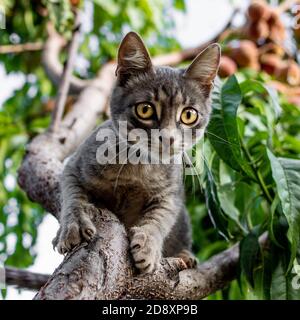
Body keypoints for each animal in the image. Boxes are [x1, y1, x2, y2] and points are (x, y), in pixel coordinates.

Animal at [54, 31, 220, 272]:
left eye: (189, 115)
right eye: (145, 109)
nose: (168, 137)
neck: (138, 166)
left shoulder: (171, 194)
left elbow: (160, 218)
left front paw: (149, 245)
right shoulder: (74, 165)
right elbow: (72, 197)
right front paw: (74, 225)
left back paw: (185, 256)